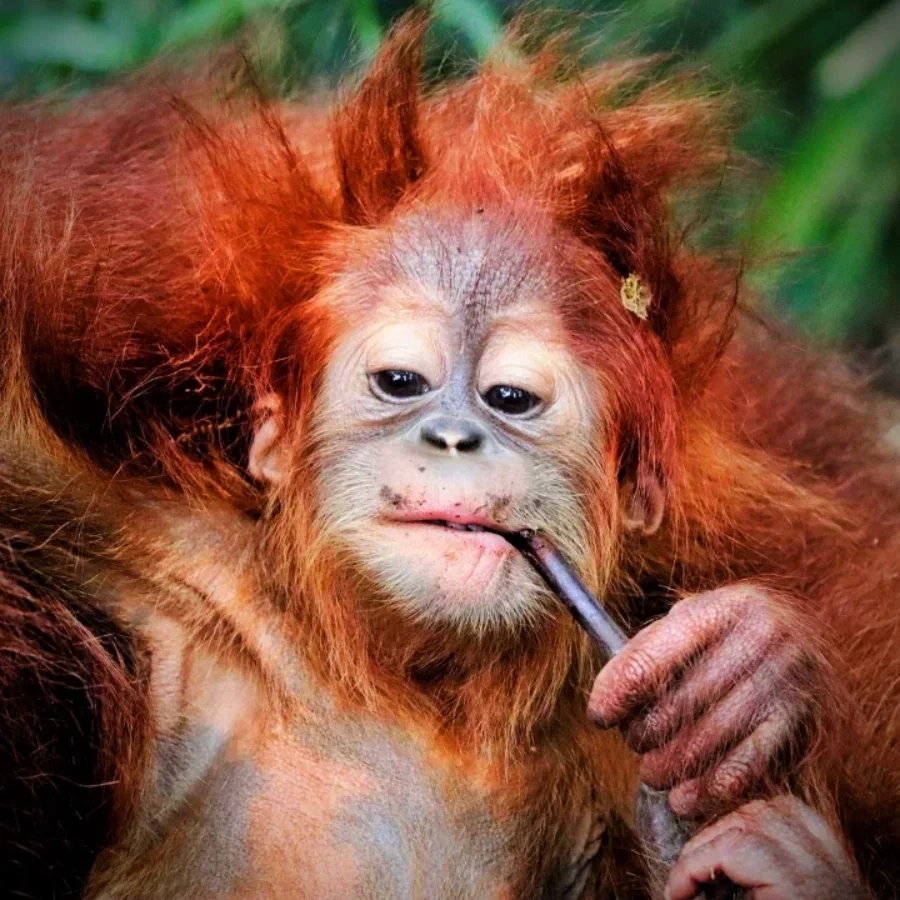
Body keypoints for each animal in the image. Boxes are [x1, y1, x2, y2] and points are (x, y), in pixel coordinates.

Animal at [1, 14, 898, 899]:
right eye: (401, 382)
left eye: (510, 398)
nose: (454, 438)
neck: (414, 690)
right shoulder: (155, 561)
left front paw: (747, 678)